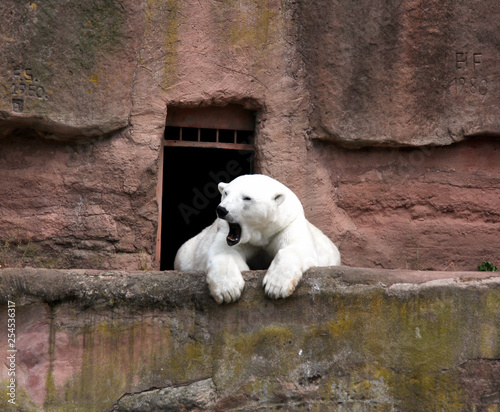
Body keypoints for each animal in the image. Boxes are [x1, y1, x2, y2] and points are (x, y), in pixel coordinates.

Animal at [174, 172, 342, 304]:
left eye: (247, 198)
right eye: (226, 193)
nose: (221, 209)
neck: (260, 232)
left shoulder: (287, 223)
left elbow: (295, 248)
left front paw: (276, 287)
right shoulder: (227, 232)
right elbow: (224, 251)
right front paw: (228, 291)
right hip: (186, 253)